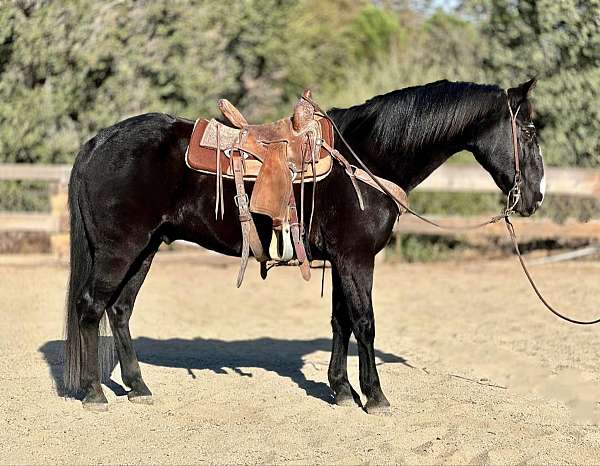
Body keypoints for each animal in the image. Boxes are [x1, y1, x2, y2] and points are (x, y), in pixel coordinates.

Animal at [64, 78, 544, 414]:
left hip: (146, 249)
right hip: (120, 250)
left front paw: (342, 390)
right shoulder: (356, 260)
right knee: (90, 306)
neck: (366, 160)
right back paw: (92, 392)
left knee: (119, 310)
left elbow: (341, 322)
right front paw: (375, 396)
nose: (535, 197)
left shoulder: (343, 261)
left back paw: (138, 387)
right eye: (529, 131)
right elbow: (365, 323)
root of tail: (98, 142)